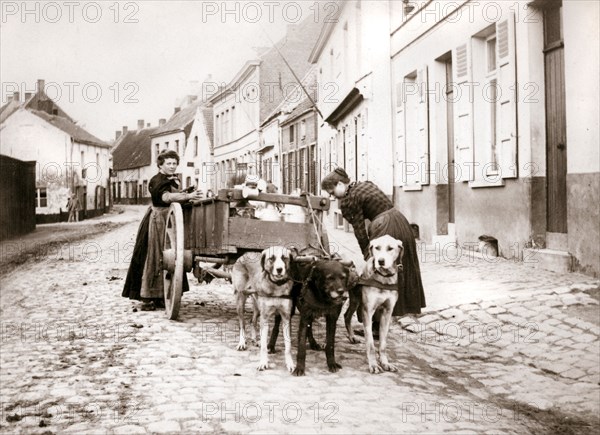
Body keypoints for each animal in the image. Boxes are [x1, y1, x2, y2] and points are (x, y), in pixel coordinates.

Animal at [344, 235, 406, 374]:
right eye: (377, 248)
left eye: (390, 248)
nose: (381, 261)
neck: (383, 278)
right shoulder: (367, 311)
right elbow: (371, 343)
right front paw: (373, 365)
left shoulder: (387, 312)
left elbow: (382, 344)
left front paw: (385, 363)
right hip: (354, 300)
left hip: (355, 300)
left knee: (346, 315)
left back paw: (352, 337)